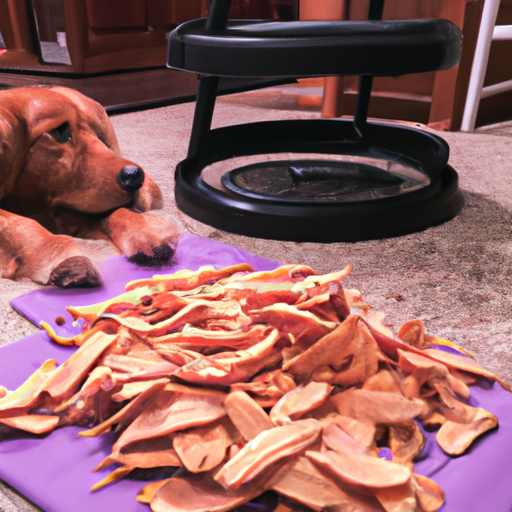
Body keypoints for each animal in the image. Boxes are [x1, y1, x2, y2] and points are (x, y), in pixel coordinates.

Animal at [0, 88, 180, 288]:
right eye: (58, 133)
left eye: (96, 134)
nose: (133, 175)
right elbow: (16, 221)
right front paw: (61, 256)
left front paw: (143, 229)